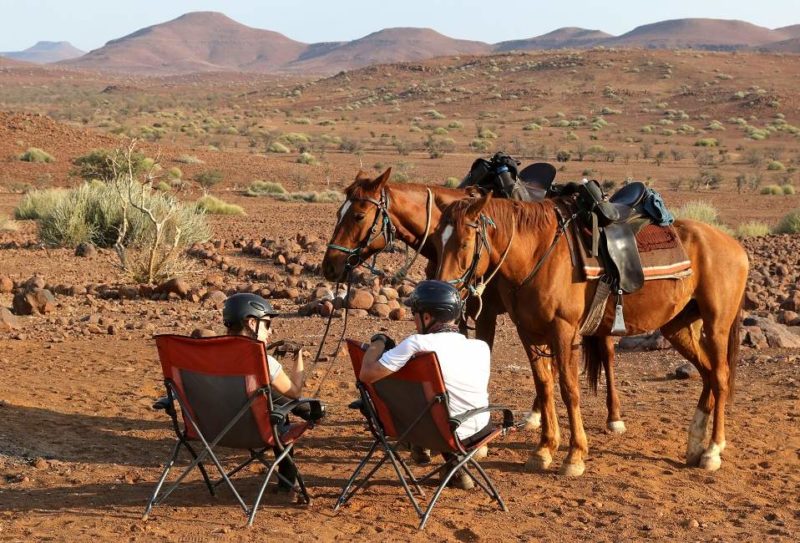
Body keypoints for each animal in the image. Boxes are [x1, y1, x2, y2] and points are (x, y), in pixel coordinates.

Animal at [318, 169, 624, 434]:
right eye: (338, 212)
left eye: (358, 215)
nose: (330, 266)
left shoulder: (485, 313)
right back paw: (538, 414)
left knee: (607, 353)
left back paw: (614, 417)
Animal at [434, 194, 748, 476]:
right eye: (437, 238)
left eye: (464, 243)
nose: (442, 289)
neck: (539, 253)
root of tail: (735, 247)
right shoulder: (530, 333)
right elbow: (544, 386)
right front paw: (544, 450)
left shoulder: (564, 331)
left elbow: (569, 389)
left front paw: (574, 455)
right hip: (679, 327)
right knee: (708, 373)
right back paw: (695, 445)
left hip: (717, 325)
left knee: (720, 376)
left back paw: (712, 451)